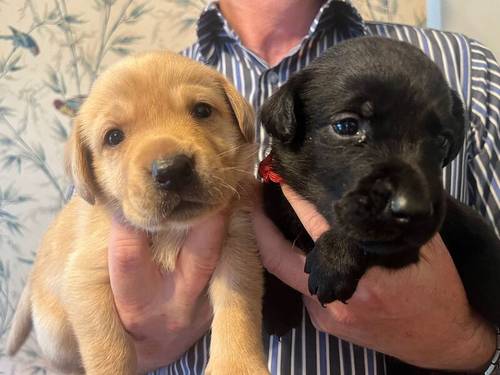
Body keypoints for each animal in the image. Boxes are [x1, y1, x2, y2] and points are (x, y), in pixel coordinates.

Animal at [5, 53, 270, 375]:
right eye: (113, 137)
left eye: (202, 110)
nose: (172, 170)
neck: (171, 232)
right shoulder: (86, 278)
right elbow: (109, 350)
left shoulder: (237, 242)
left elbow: (237, 306)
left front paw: (237, 364)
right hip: (55, 335)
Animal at [260, 36, 498, 375]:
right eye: (347, 127)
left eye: (442, 141)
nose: (412, 209)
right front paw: (277, 306)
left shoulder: (404, 249)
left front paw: (334, 257)